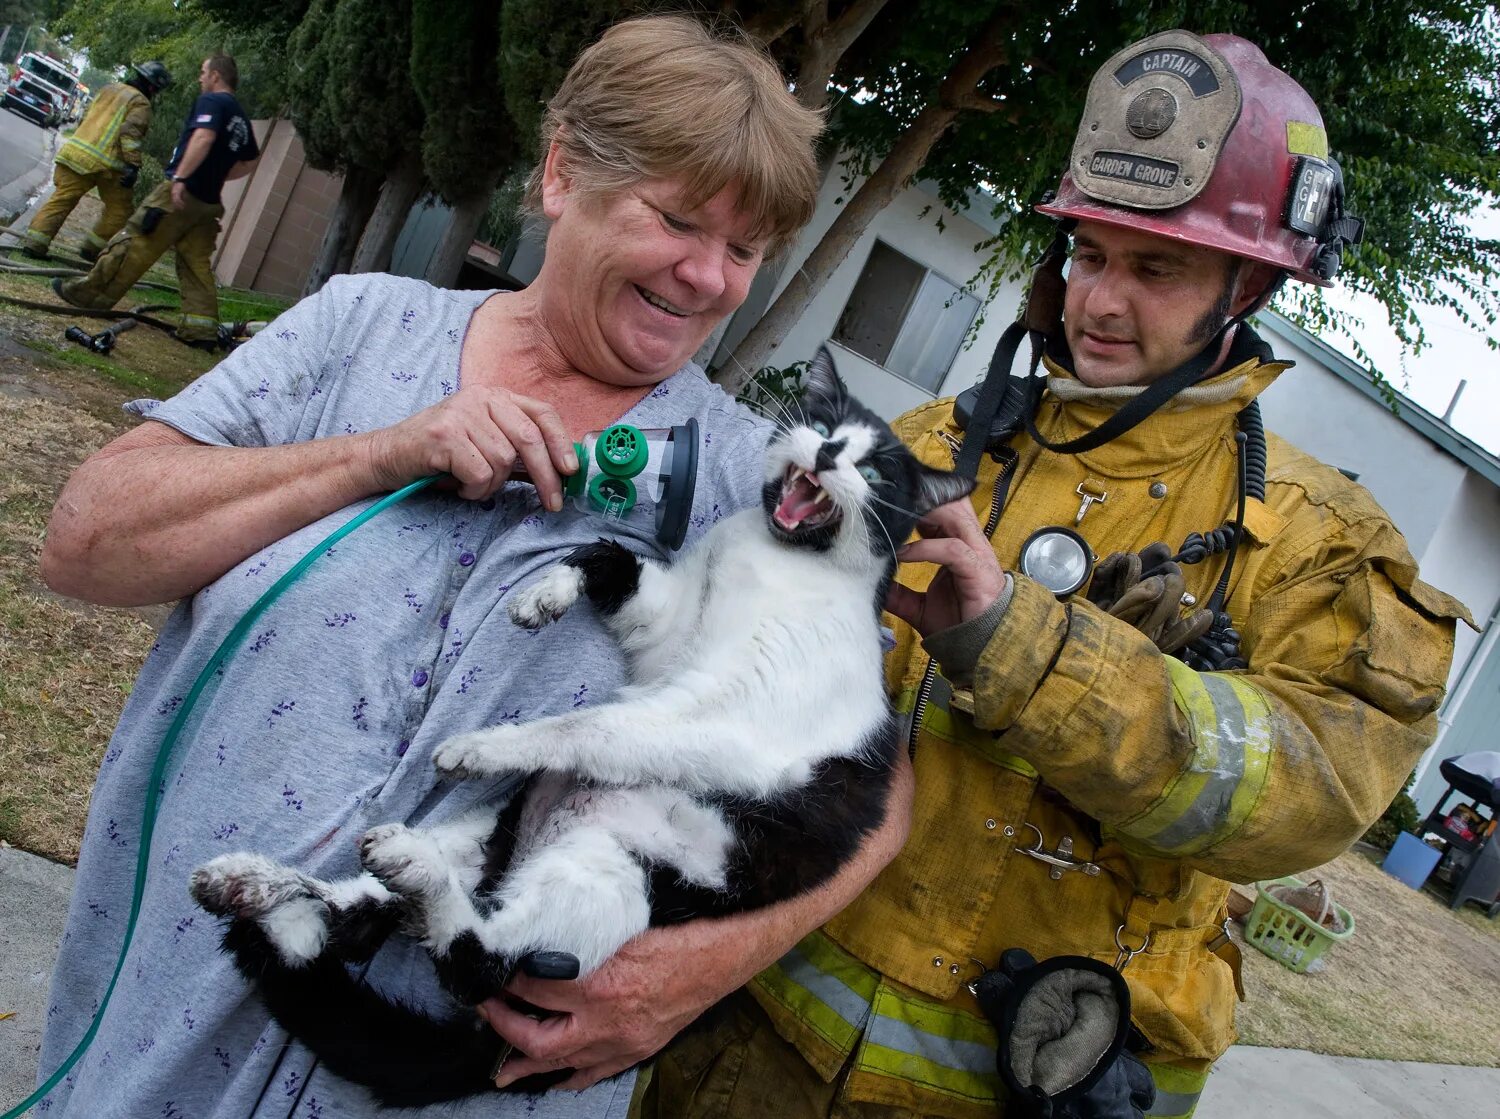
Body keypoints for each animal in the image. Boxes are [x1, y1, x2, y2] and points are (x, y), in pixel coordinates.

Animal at [187, 348, 972, 1098]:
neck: (773, 555)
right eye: (824, 423)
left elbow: (591, 727)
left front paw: (482, 745)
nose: (831, 453)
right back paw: (258, 885)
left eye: (876, 468)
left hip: (613, 879)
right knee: (358, 911)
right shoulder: (664, 640)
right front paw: (547, 594)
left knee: (477, 960)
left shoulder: (720, 719)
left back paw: (404, 879)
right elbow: (608, 557)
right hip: (487, 832)